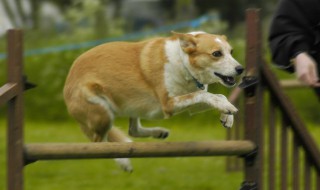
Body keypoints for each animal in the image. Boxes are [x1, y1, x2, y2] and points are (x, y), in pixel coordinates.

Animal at [63, 30, 242, 171]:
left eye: (231, 52)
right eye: (216, 54)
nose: (241, 69)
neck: (183, 63)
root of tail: (66, 86)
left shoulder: (191, 104)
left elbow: (217, 96)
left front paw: (227, 114)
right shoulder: (169, 104)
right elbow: (205, 95)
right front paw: (226, 109)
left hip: (132, 106)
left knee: (132, 130)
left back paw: (158, 132)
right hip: (102, 111)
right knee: (99, 143)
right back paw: (123, 161)